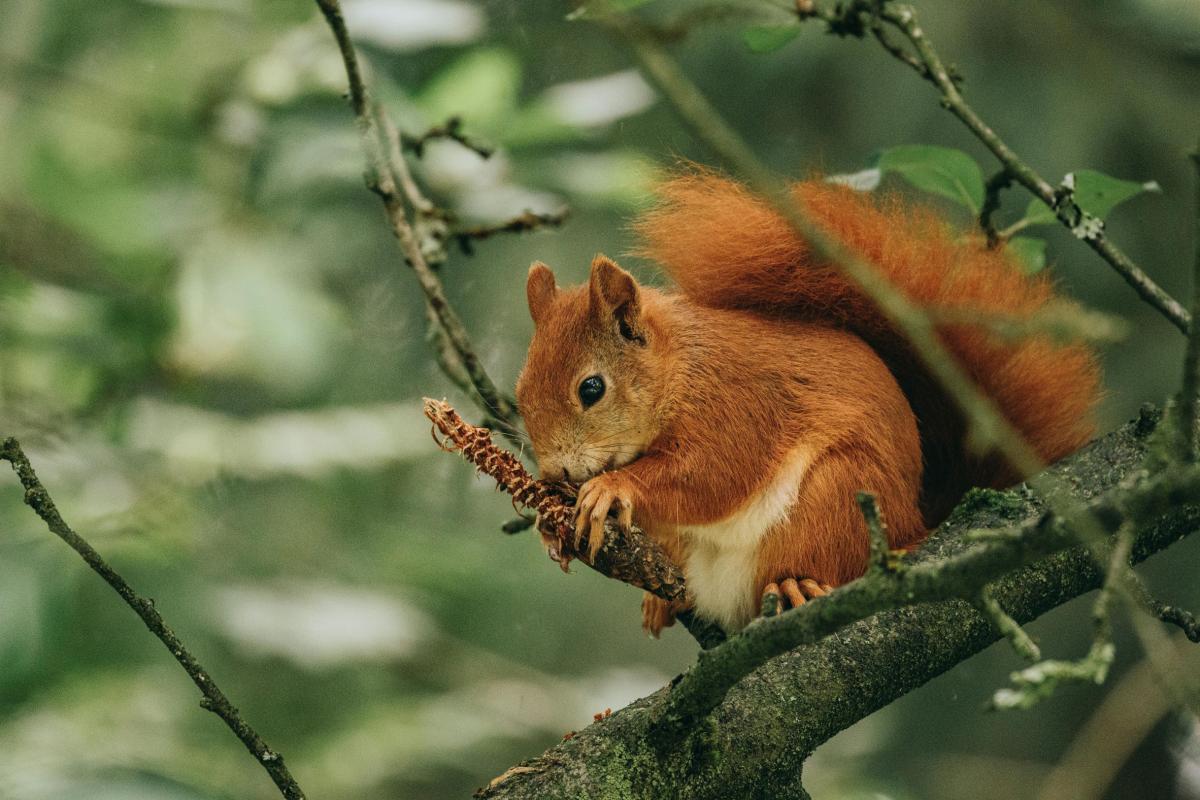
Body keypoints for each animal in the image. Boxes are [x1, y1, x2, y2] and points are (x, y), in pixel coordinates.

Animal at [511, 172, 1099, 633]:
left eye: (591, 389)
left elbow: (712, 475)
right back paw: (663, 600)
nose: (555, 471)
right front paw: (549, 522)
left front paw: (612, 487)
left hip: (837, 496)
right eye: (519, 392)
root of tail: (916, 521)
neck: (679, 371)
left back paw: (797, 584)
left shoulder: (738, 406)